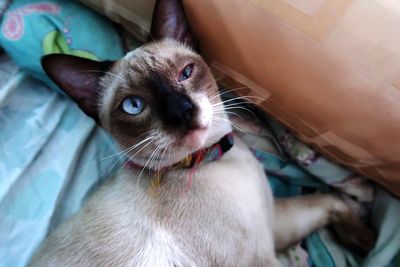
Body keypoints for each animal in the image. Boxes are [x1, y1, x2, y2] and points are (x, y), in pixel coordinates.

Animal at [28, 0, 376, 267]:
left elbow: (329, 200)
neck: (209, 160)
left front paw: (365, 236)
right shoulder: (263, 257)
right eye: (133, 105)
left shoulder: (272, 224)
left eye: (186, 73)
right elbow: (328, 201)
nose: (182, 112)